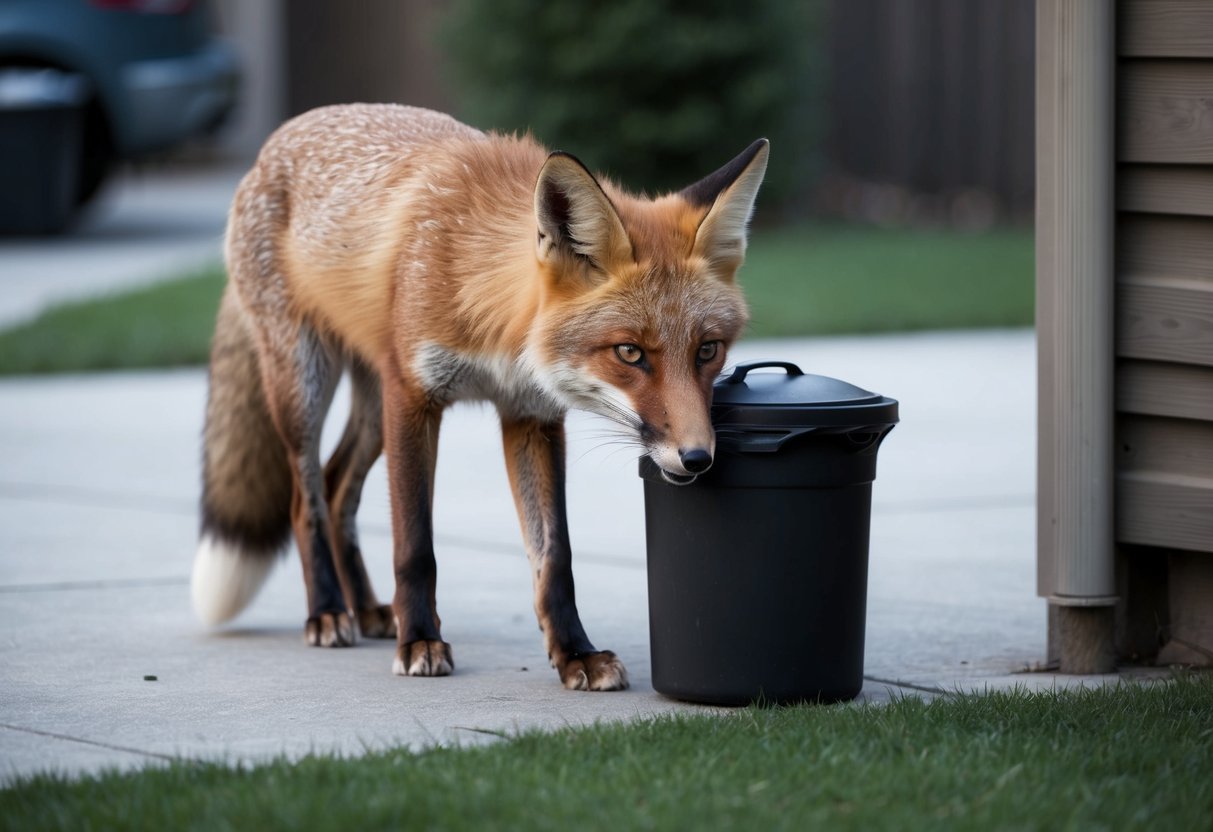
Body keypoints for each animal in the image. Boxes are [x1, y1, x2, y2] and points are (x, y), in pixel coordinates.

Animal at [191, 103, 768, 691]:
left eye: (708, 350)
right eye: (629, 353)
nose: (697, 458)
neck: (494, 324)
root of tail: (276, 140)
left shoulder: (530, 415)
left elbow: (555, 557)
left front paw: (575, 654)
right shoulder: (413, 398)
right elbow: (415, 546)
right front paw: (420, 641)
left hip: (372, 408)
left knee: (334, 489)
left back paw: (368, 608)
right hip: (305, 385)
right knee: (303, 499)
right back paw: (328, 611)